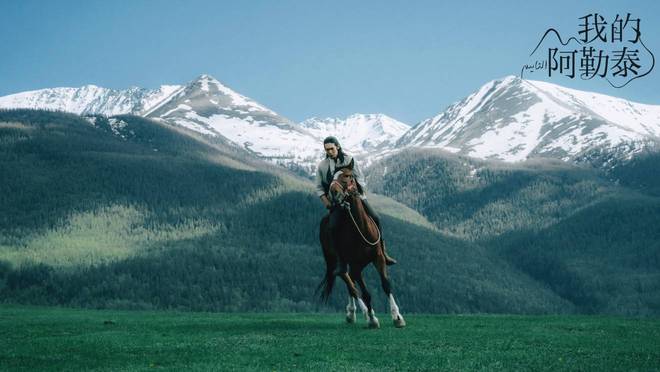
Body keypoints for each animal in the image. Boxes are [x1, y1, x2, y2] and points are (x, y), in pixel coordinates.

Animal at [318, 160, 404, 328]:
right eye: (332, 176)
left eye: (347, 175)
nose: (333, 193)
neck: (360, 228)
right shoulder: (356, 266)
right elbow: (366, 293)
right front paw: (372, 319)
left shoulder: (378, 258)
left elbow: (386, 285)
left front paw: (397, 317)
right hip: (339, 261)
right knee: (348, 281)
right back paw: (358, 312)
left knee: (350, 282)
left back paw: (352, 313)